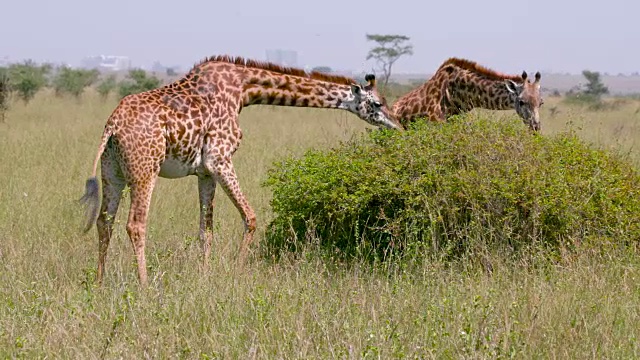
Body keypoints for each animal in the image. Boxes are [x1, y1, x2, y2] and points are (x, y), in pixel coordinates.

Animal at [79, 54, 400, 286]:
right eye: (376, 103)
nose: (398, 125)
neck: (244, 90)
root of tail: (112, 125)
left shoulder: (205, 172)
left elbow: (205, 230)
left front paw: (205, 276)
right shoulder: (220, 159)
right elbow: (251, 217)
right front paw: (236, 271)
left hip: (113, 173)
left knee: (104, 222)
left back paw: (99, 282)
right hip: (145, 170)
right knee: (135, 224)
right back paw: (144, 285)